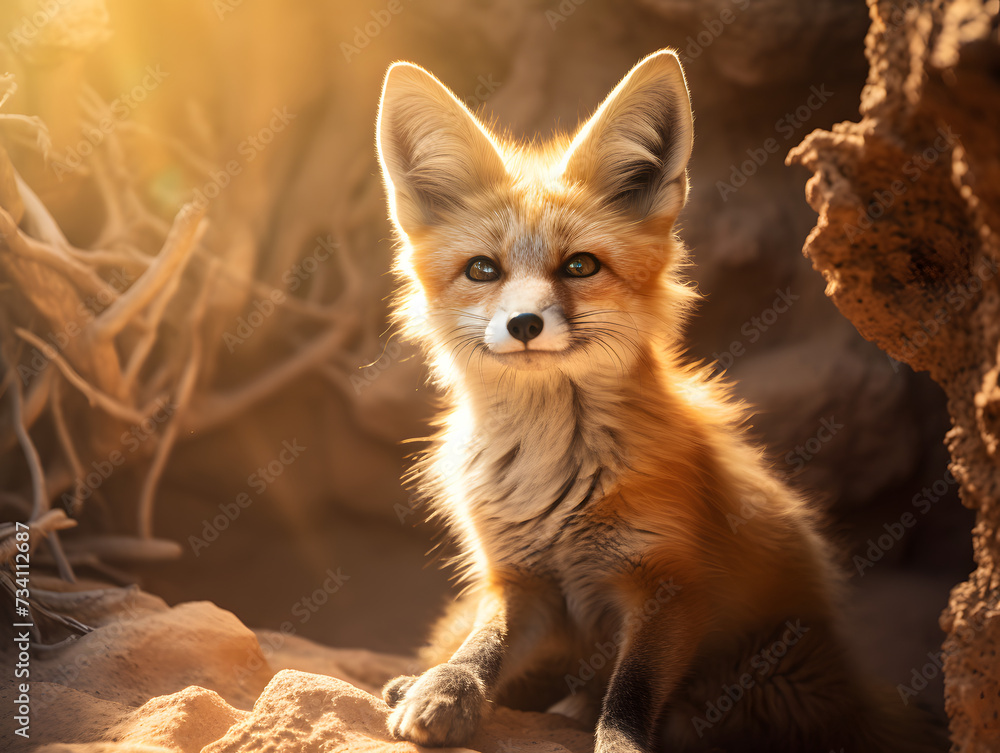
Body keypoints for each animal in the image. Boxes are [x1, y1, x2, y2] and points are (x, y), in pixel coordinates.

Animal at [373, 49, 945, 753]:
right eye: (483, 270)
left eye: (580, 266)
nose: (525, 324)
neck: (549, 471)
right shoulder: (520, 579)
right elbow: (482, 647)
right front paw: (447, 691)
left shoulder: (670, 586)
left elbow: (629, 696)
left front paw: (614, 740)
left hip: (780, 681)